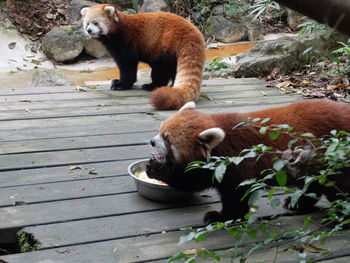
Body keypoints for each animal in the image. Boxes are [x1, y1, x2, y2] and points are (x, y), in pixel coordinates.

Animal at [145, 100, 350, 224]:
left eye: (168, 139)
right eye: (160, 129)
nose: (152, 141)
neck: (222, 143)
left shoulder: (238, 162)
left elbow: (236, 197)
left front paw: (220, 216)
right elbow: (195, 180)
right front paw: (156, 169)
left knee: (339, 188)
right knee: (315, 183)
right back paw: (298, 203)